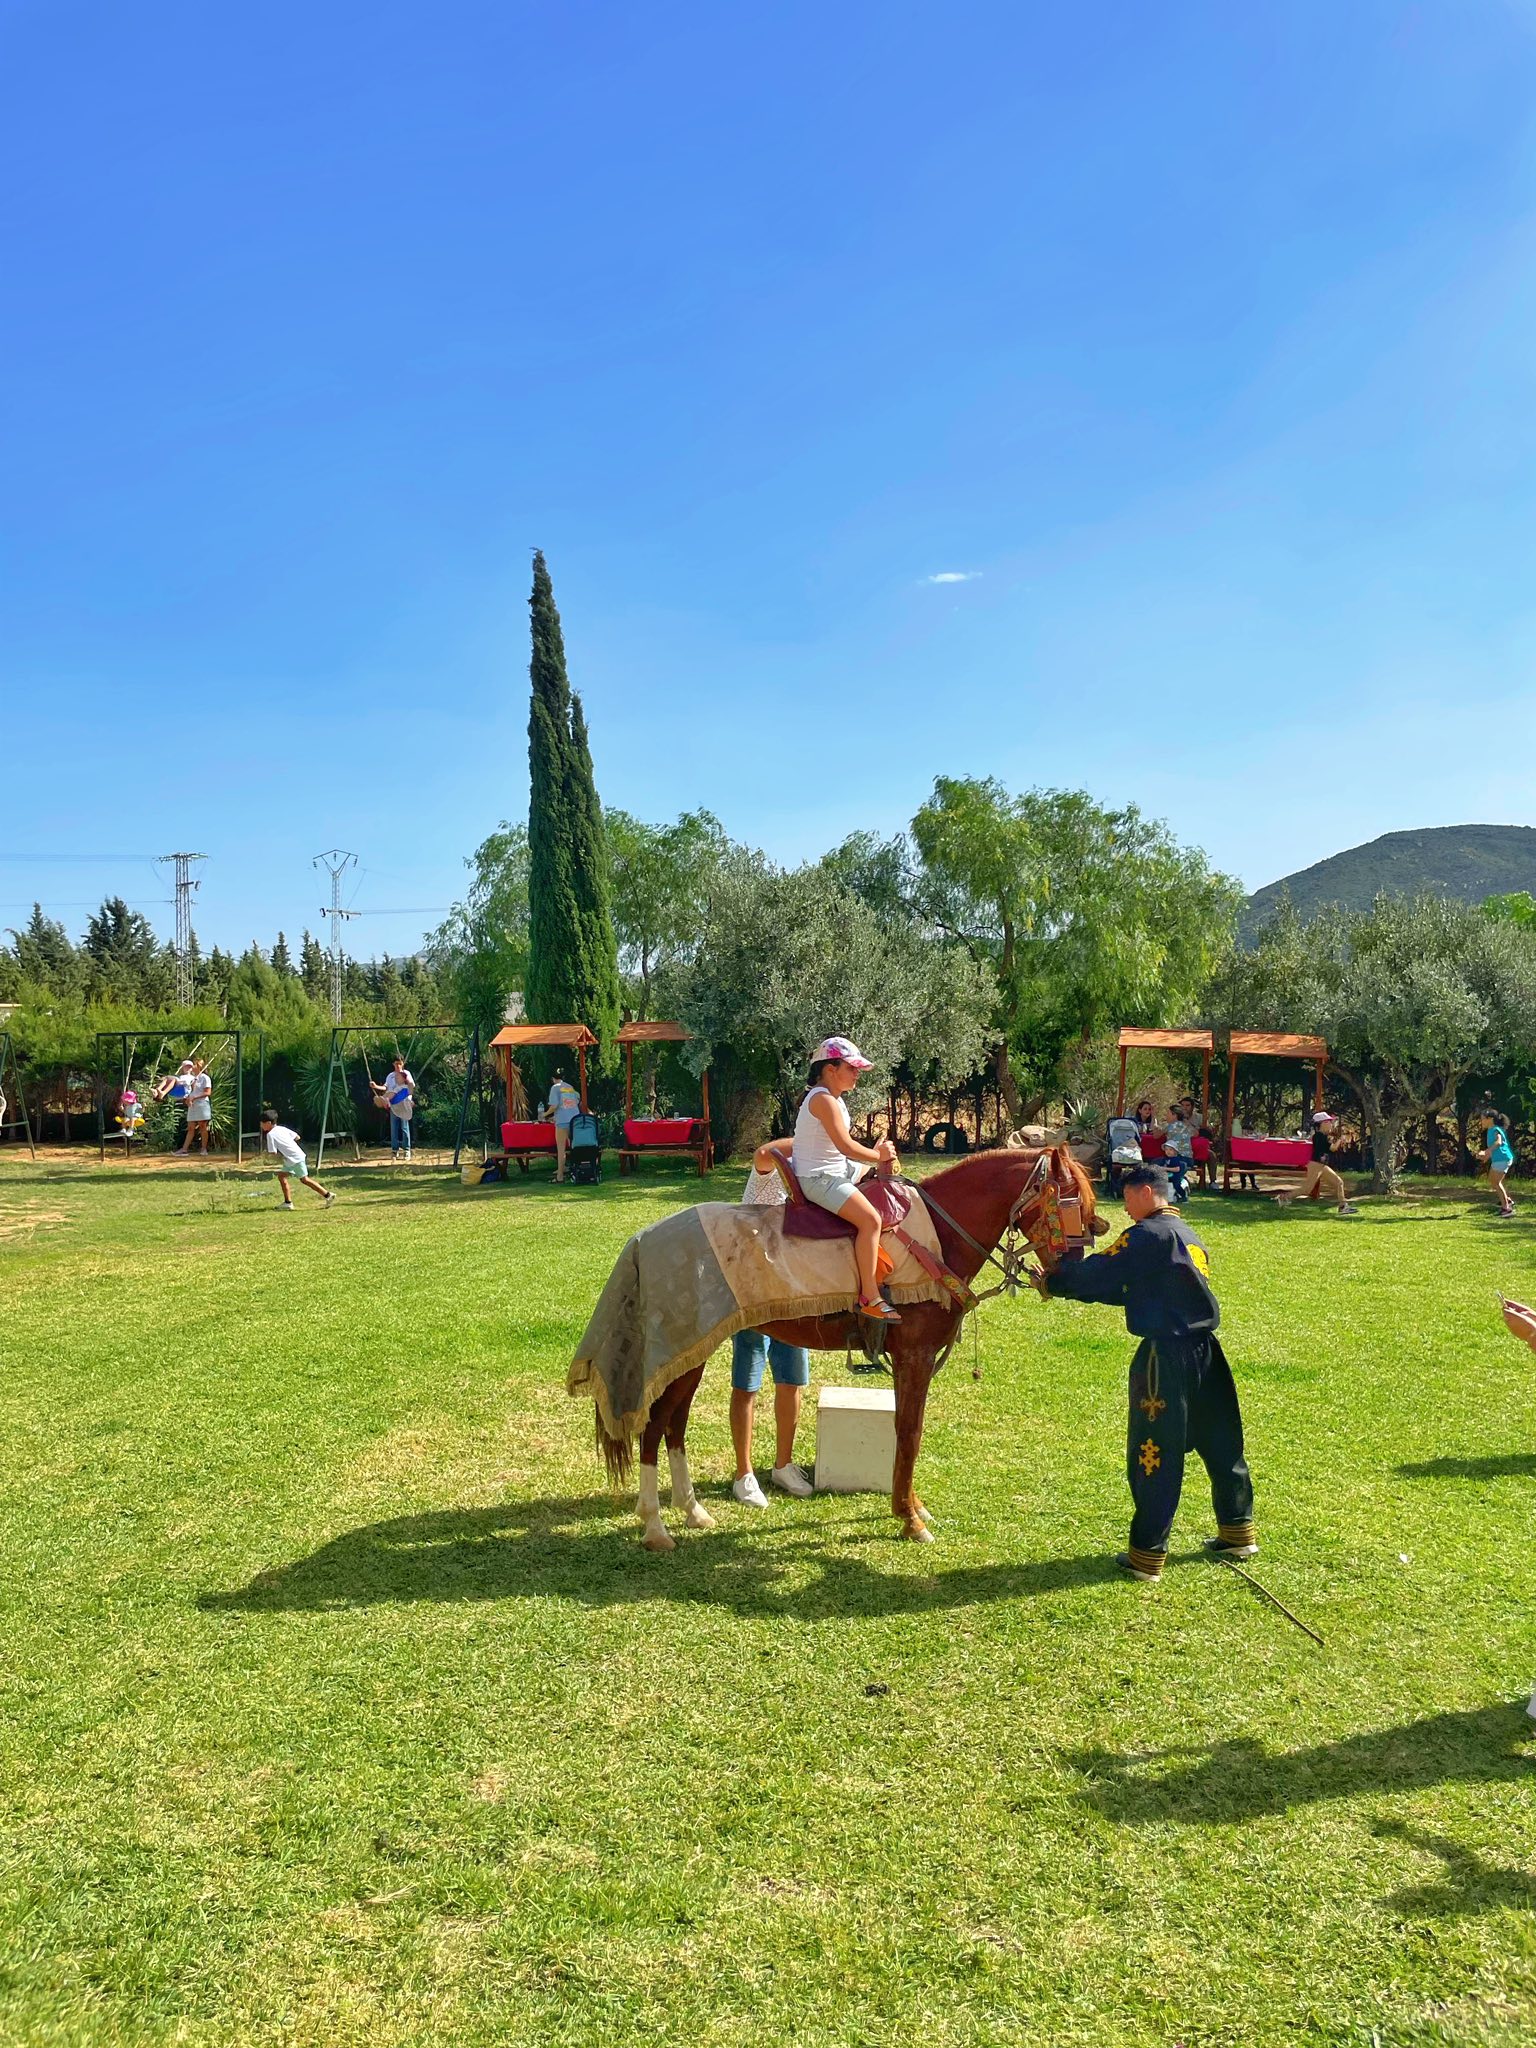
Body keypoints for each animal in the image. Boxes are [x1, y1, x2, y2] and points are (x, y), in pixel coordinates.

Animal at [596, 1145, 1099, 1551]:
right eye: (1071, 1201)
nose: (1072, 1271)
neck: (936, 1236)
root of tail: (646, 1237)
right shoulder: (914, 1357)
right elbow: (910, 1434)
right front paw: (909, 1519)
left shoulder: (907, 1361)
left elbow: (904, 1431)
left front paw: (911, 1505)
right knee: (654, 1428)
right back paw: (656, 1527)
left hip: (691, 1354)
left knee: (674, 1426)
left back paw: (692, 1511)